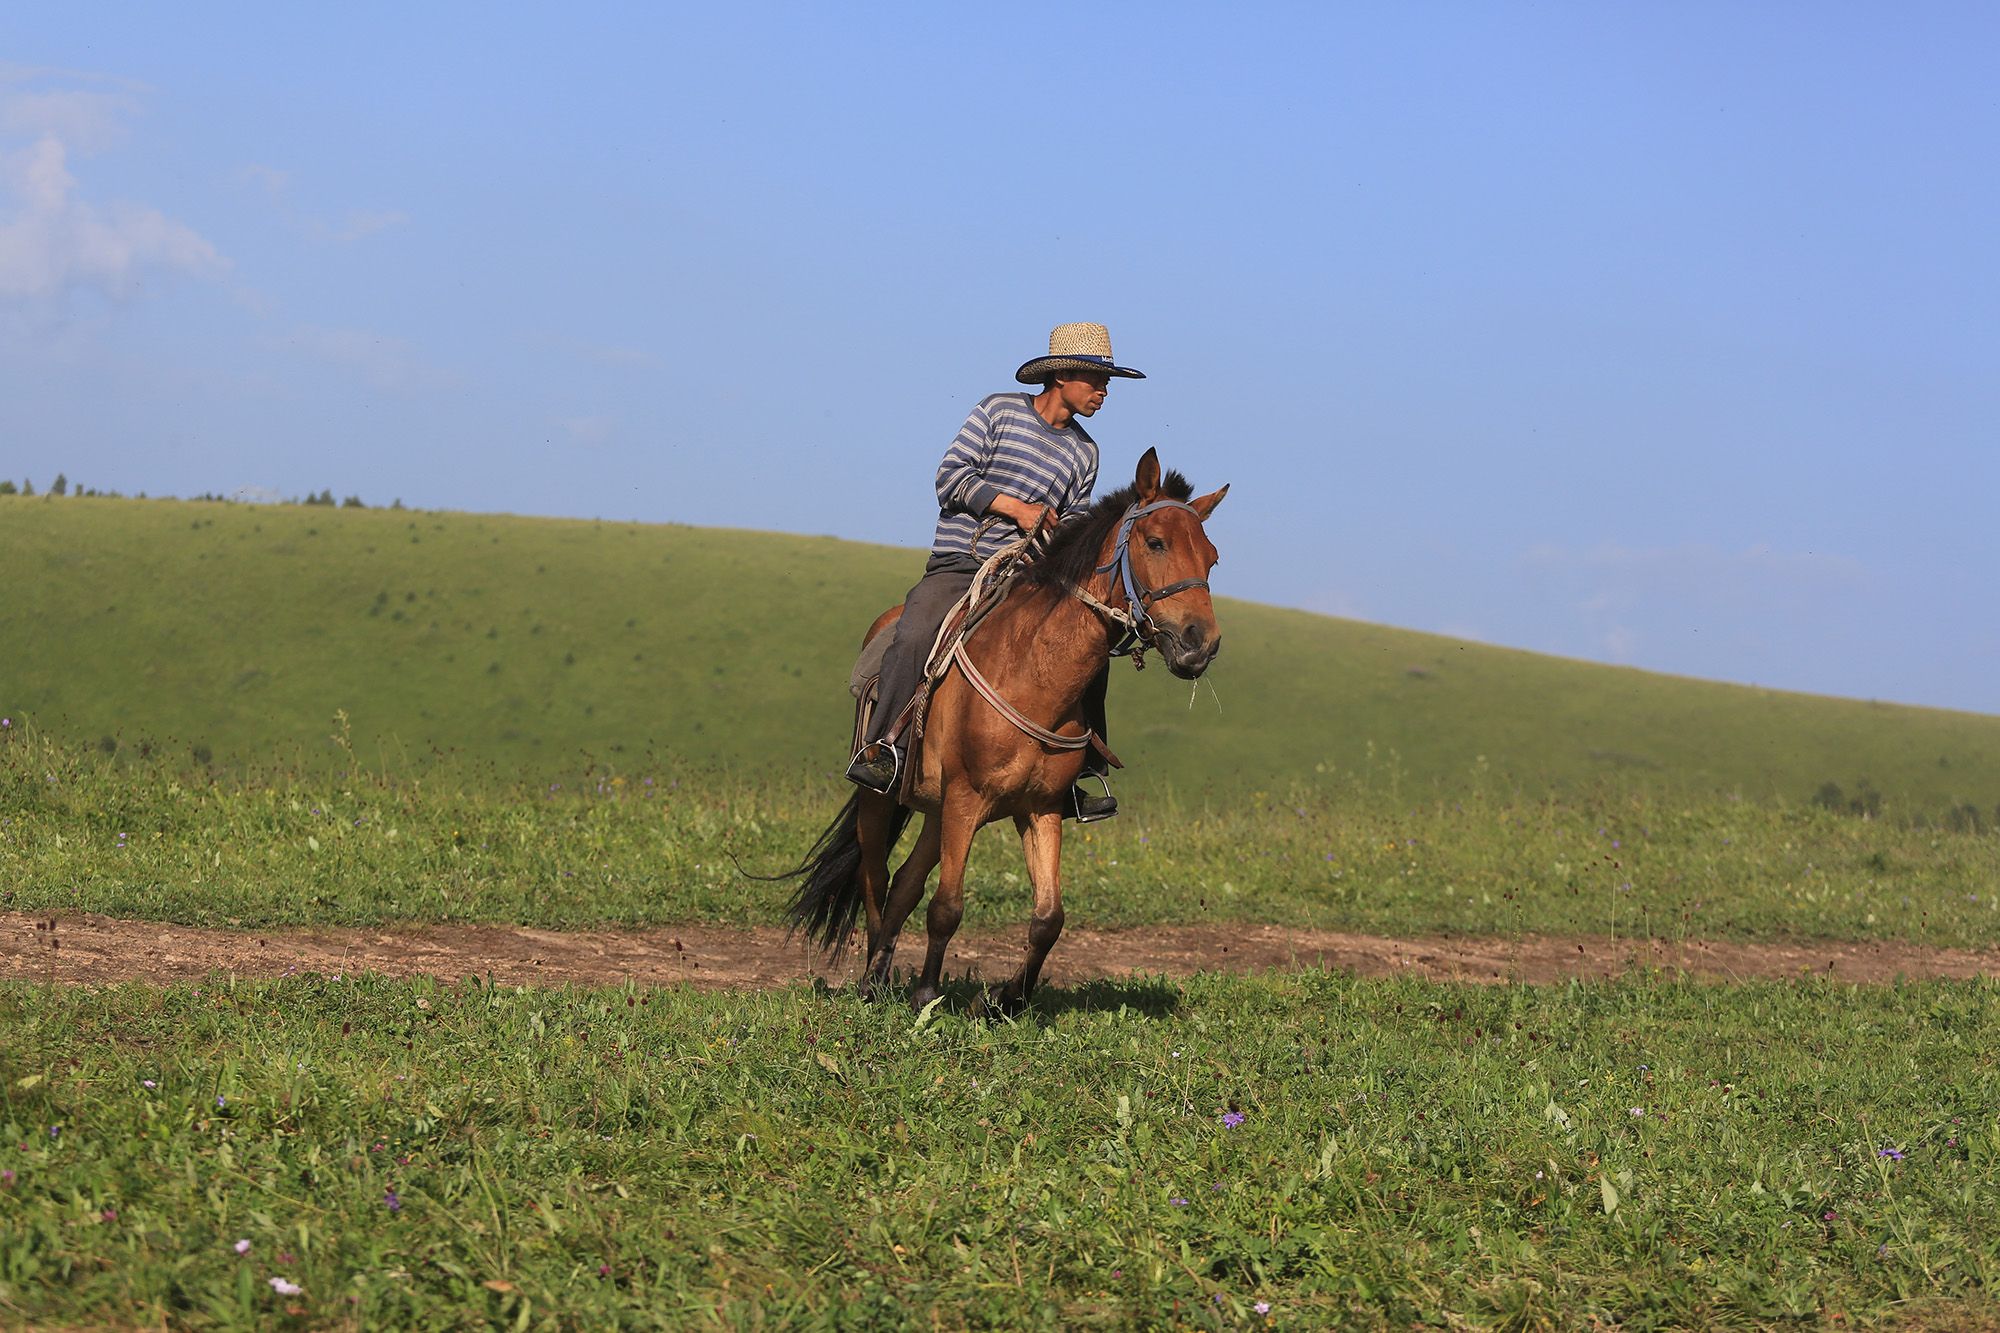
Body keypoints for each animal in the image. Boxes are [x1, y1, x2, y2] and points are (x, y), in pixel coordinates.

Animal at [784, 446, 1224, 1008]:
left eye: (1211, 557)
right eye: (1156, 542)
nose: (1199, 643)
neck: (1035, 674)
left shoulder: (1040, 808)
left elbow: (1048, 918)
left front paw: (1005, 999)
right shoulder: (966, 800)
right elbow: (947, 906)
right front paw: (927, 995)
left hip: (936, 809)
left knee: (905, 882)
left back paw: (882, 971)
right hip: (881, 797)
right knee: (876, 877)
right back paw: (871, 981)